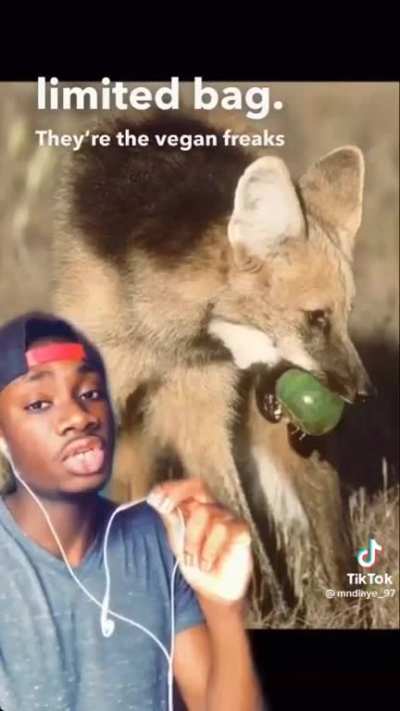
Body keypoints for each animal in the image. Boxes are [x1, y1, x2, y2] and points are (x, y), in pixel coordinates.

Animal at [50, 111, 374, 618]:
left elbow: (239, 517)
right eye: (316, 318)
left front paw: (268, 612)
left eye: (345, 317)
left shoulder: (202, 398)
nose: (362, 392)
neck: (171, 338)